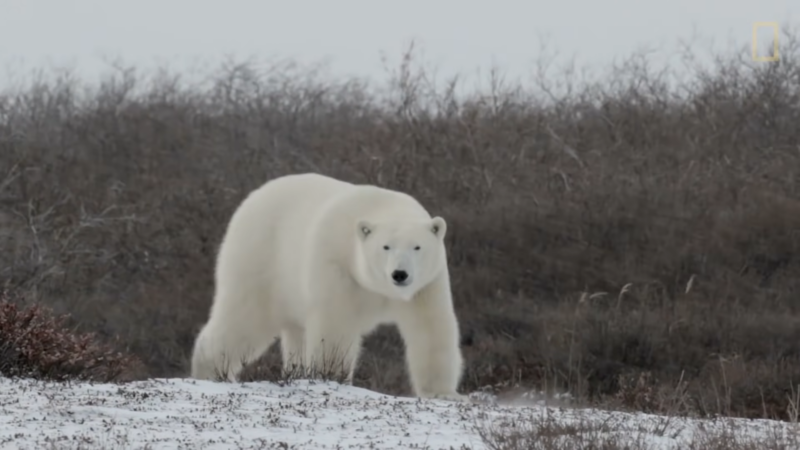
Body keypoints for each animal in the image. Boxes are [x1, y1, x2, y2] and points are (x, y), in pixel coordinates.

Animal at [190, 172, 466, 400]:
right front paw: (330, 377)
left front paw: (443, 393)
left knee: (294, 334)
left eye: (417, 247)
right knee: (245, 317)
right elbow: (335, 324)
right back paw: (209, 370)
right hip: (261, 259)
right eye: (385, 246)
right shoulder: (336, 265)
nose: (400, 274)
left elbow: (431, 326)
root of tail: (251, 200)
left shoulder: (427, 284)